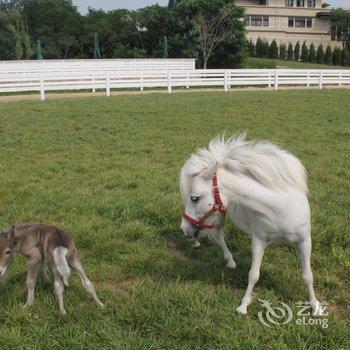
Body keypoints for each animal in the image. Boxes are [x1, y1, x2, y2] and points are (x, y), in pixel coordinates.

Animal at [180, 134, 322, 314]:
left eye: (195, 198)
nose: (183, 229)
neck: (280, 208)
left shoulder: (304, 241)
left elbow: (307, 275)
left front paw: (315, 306)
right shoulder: (259, 241)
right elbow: (254, 274)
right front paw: (243, 305)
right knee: (218, 235)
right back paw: (223, 257)